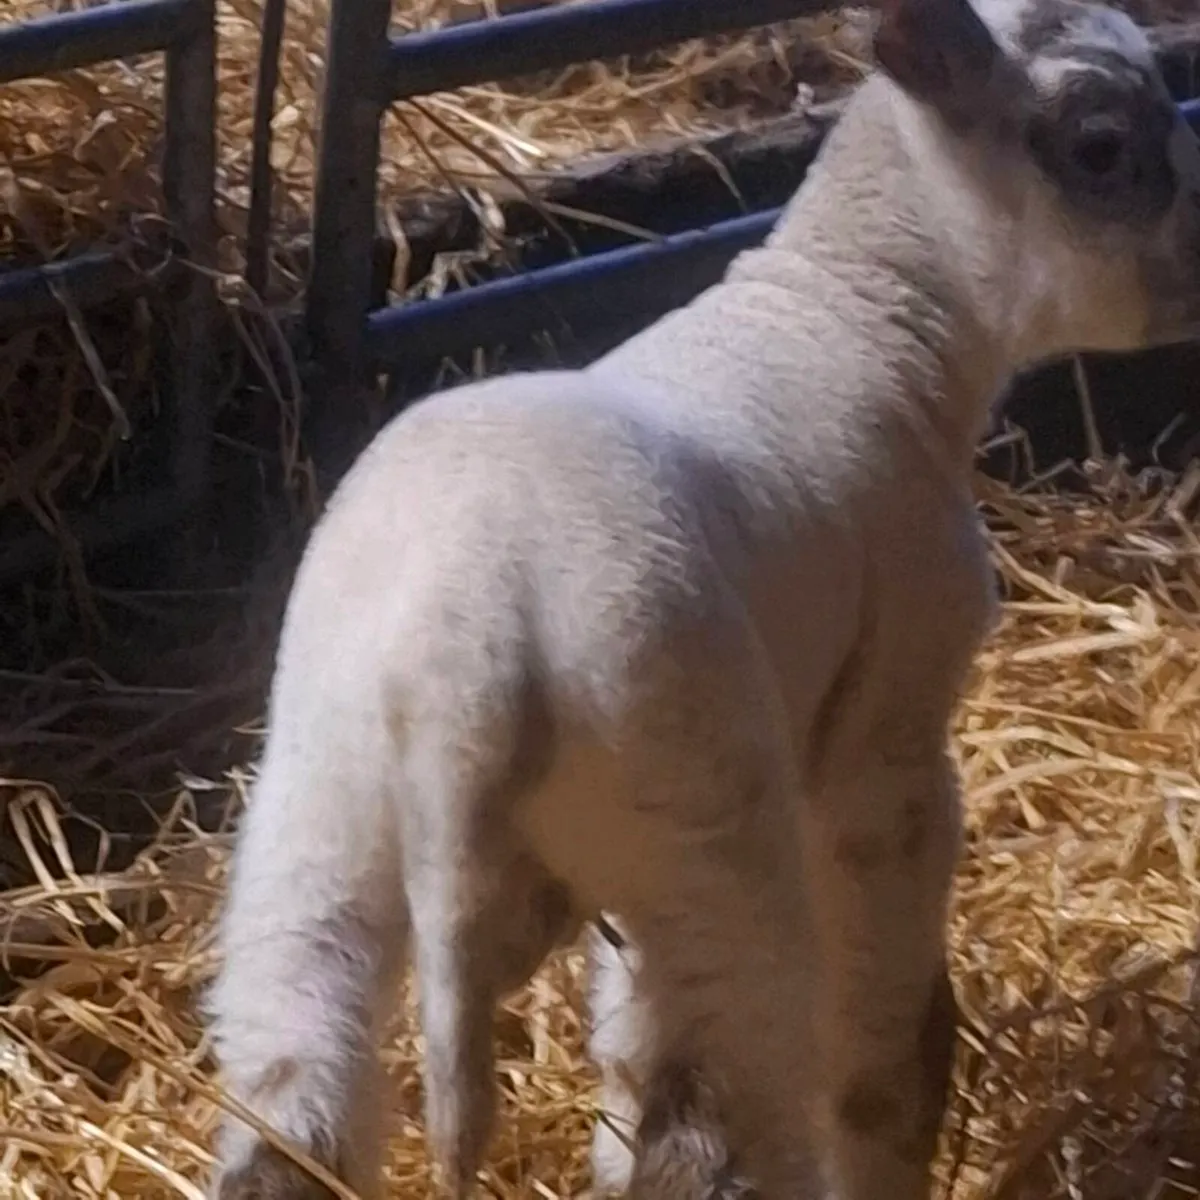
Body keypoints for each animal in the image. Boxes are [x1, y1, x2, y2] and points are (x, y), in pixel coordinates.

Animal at [204, 0, 1200, 1196]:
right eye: (1102, 145)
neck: (861, 313)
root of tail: (466, 652)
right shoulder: (890, 735)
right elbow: (886, 1031)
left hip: (322, 820)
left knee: (289, 1102)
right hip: (700, 836)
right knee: (708, 1128)